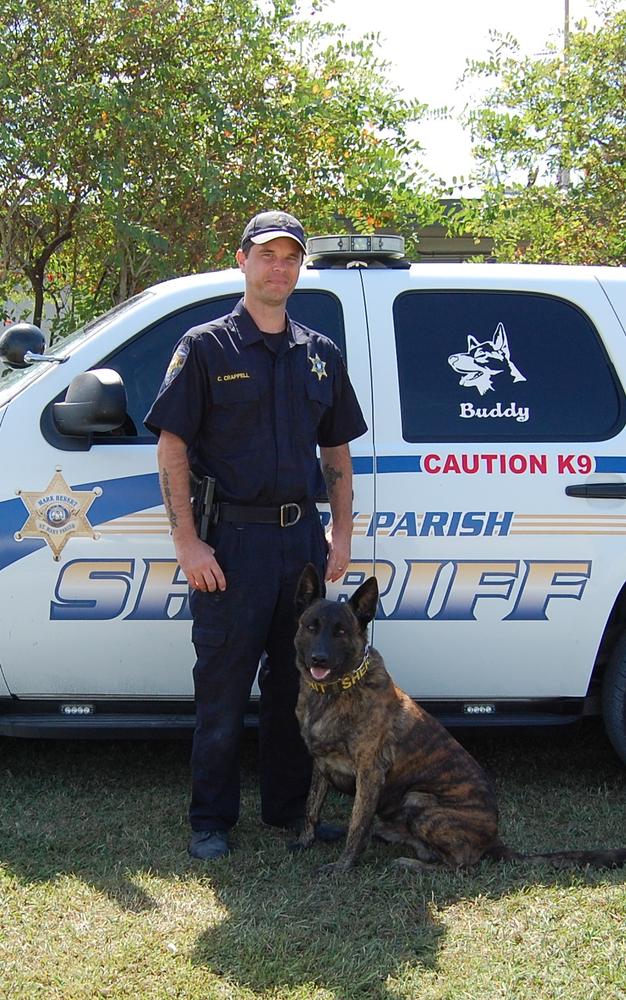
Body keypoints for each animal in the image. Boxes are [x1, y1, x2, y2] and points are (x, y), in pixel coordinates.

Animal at [292, 568, 624, 872]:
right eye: (311, 627)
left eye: (341, 632)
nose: (319, 658)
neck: (336, 691)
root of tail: (492, 839)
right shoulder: (320, 764)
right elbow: (311, 807)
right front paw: (304, 841)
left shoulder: (370, 773)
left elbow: (356, 825)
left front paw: (343, 865)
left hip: (421, 802)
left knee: (458, 863)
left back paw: (412, 863)